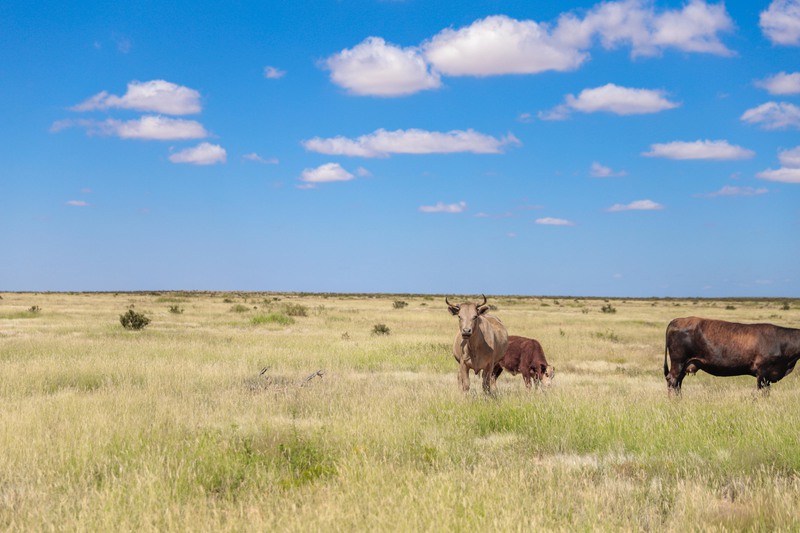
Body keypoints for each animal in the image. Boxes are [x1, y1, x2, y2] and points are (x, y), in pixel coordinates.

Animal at [664, 316, 800, 394]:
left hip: (684, 365)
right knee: (672, 380)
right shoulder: (762, 373)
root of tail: (676, 320)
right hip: (678, 361)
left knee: (678, 383)